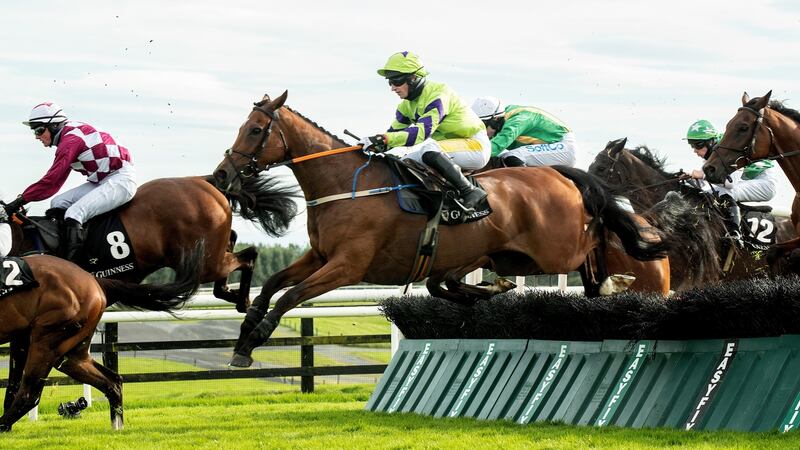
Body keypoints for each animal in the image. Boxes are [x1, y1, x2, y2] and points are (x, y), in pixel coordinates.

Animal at [0, 246, 203, 432]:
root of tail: (94, 280)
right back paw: (117, 425)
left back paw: (3, 425)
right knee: (111, 381)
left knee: (29, 394)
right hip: (67, 351)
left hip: (47, 341)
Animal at [4, 174, 298, 312]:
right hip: (209, 253)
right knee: (235, 245)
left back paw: (243, 300)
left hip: (205, 263)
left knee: (249, 255)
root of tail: (205, 181)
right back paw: (231, 292)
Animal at [209, 90, 664, 366]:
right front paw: (245, 336)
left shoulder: (348, 266)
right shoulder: (319, 256)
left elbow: (291, 297)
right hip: (505, 255)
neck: (346, 185)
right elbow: (271, 287)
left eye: (255, 129)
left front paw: (255, 339)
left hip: (554, 250)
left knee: (595, 240)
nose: (222, 175)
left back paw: (612, 281)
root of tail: (558, 173)